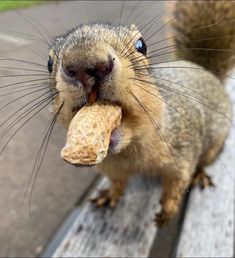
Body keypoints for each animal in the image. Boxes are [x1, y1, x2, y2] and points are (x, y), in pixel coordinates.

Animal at [47, 0, 235, 227]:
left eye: (141, 45)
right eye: (49, 64)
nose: (85, 64)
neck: (130, 150)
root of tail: (202, 70)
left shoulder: (184, 151)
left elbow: (178, 183)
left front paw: (168, 211)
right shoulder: (111, 168)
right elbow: (118, 183)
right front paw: (110, 194)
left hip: (214, 145)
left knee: (205, 161)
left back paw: (200, 175)